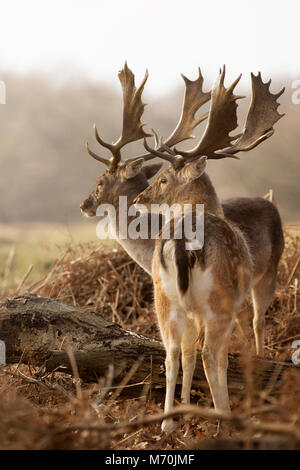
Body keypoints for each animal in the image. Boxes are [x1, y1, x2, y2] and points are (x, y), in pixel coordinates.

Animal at [135, 67, 284, 434]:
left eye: (162, 179)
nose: (140, 197)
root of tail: (181, 243)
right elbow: (217, 356)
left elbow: (186, 355)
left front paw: (187, 407)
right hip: (219, 300)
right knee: (210, 354)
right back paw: (225, 417)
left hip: (164, 298)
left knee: (173, 353)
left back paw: (167, 425)